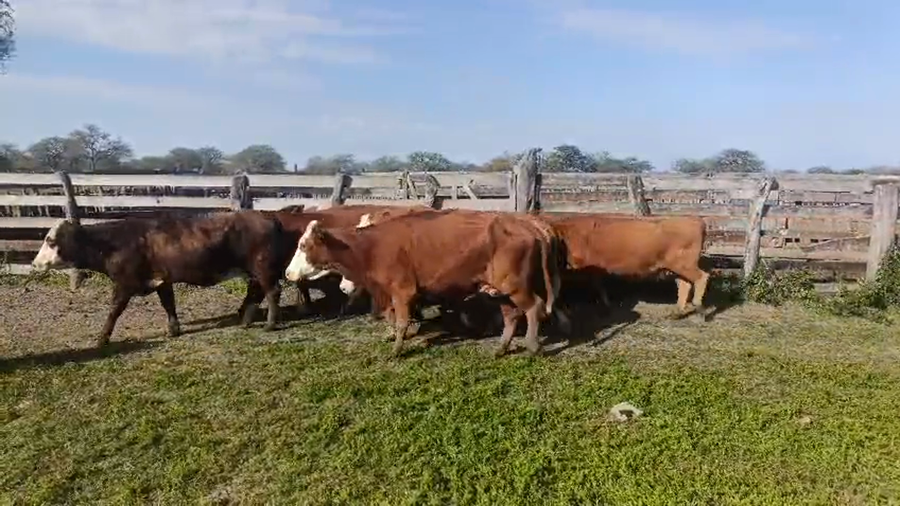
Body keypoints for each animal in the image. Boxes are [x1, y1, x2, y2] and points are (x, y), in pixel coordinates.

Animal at [30, 211, 286, 346]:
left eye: (50, 241)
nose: (35, 263)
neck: (113, 243)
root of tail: (267, 217)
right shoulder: (163, 281)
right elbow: (169, 305)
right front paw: (173, 329)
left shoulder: (125, 284)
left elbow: (114, 311)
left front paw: (102, 338)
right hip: (254, 272)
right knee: (256, 293)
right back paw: (247, 321)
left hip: (263, 269)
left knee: (272, 292)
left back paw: (270, 324)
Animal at [284, 209, 562, 357]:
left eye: (303, 245)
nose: (287, 273)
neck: (372, 247)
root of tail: (526, 224)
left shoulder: (402, 291)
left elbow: (401, 322)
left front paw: (397, 350)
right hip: (500, 290)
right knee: (512, 316)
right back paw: (501, 348)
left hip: (514, 287)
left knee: (534, 307)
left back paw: (532, 345)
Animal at [541, 213, 710, 317]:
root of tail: (695, 220)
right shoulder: (594, 269)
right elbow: (599, 286)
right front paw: (606, 304)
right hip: (679, 266)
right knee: (685, 284)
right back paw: (677, 312)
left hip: (684, 265)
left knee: (701, 277)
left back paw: (697, 305)